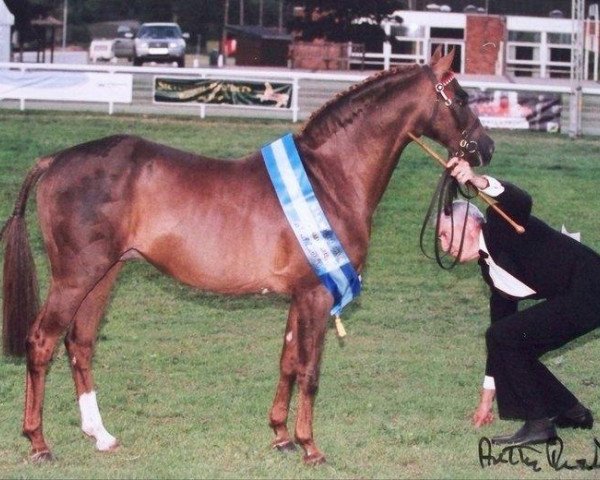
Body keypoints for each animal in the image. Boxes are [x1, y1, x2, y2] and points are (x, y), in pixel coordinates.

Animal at [1, 49, 492, 464]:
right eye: (461, 96)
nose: (484, 147)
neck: (329, 177)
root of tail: (55, 160)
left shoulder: (300, 295)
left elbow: (288, 361)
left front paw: (281, 436)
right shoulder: (317, 295)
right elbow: (310, 370)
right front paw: (311, 446)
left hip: (103, 277)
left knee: (79, 344)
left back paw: (100, 435)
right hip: (75, 278)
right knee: (41, 342)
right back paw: (39, 443)